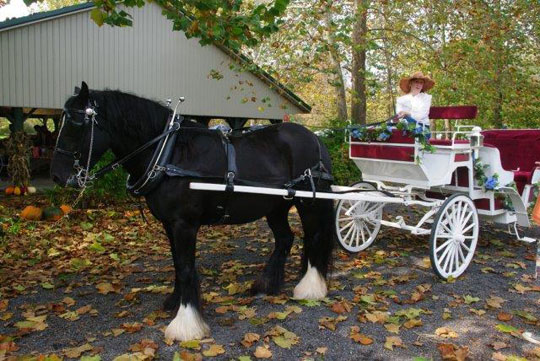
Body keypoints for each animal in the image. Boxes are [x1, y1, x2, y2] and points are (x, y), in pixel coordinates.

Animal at [49, 82, 334, 340]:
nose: (58, 176)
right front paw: (175, 302)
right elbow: (177, 264)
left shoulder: (184, 224)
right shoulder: (169, 224)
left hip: (309, 202)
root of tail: (314, 137)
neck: (169, 154)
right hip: (276, 205)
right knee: (285, 238)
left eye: (77, 122)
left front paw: (186, 323)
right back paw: (267, 284)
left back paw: (310, 288)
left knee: (314, 237)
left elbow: (186, 268)